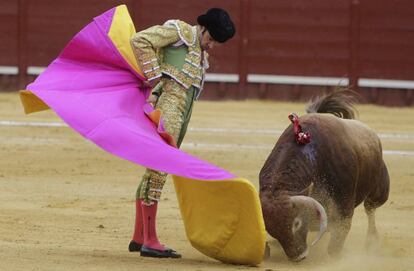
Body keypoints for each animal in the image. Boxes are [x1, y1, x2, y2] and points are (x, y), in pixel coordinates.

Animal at [260, 90, 390, 262]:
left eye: (296, 223)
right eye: (270, 229)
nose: (298, 257)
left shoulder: (344, 201)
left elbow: (341, 228)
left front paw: (335, 256)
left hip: (379, 191)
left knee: (371, 209)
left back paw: (371, 242)